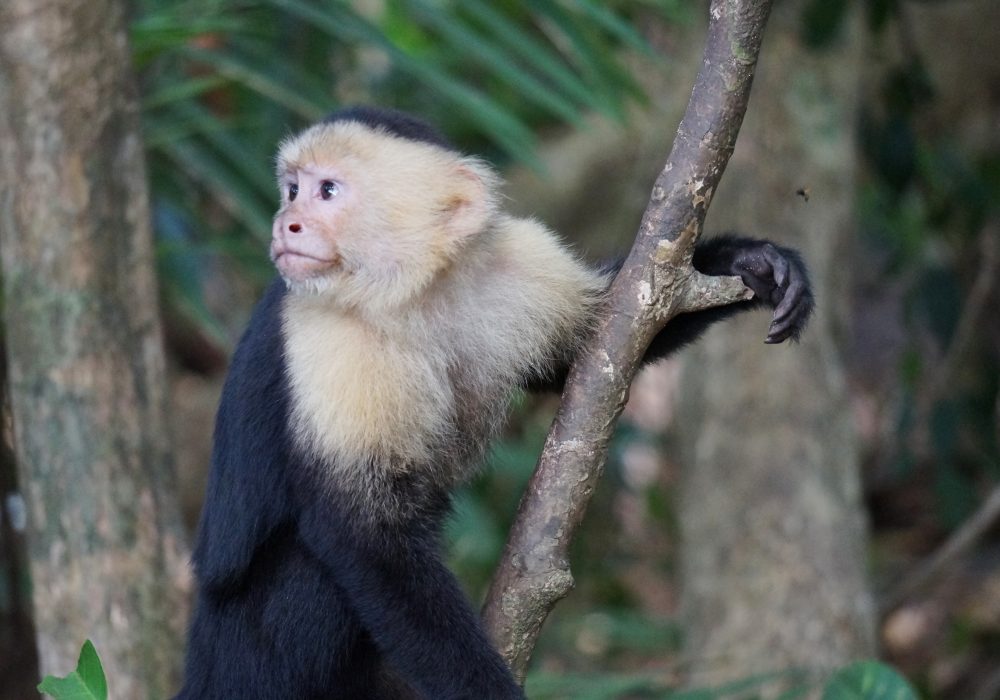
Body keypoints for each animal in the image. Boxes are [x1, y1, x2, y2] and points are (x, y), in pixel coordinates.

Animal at [178, 105, 812, 700]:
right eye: (292, 188)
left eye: (326, 190)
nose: (287, 222)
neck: (413, 290)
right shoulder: (326, 332)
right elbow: (361, 532)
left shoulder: (517, 261)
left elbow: (604, 335)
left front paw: (751, 262)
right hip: (244, 665)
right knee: (312, 573)